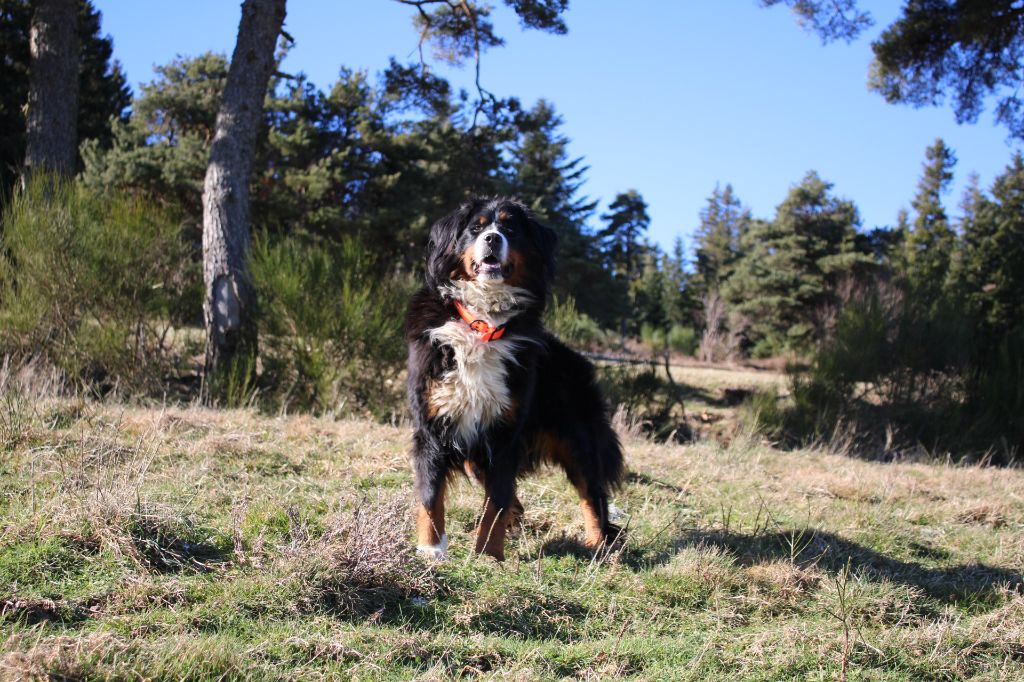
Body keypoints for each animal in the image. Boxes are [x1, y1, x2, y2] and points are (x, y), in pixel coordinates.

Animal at [405, 195, 622, 557]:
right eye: (475, 228)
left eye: (510, 229)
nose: (493, 238)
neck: (483, 324)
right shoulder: (434, 423)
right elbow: (431, 495)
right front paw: (431, 549)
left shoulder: (505, 431)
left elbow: (497, 501)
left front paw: (488, 555)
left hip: (577, 438)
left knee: (592, 494)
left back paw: (597, 543)